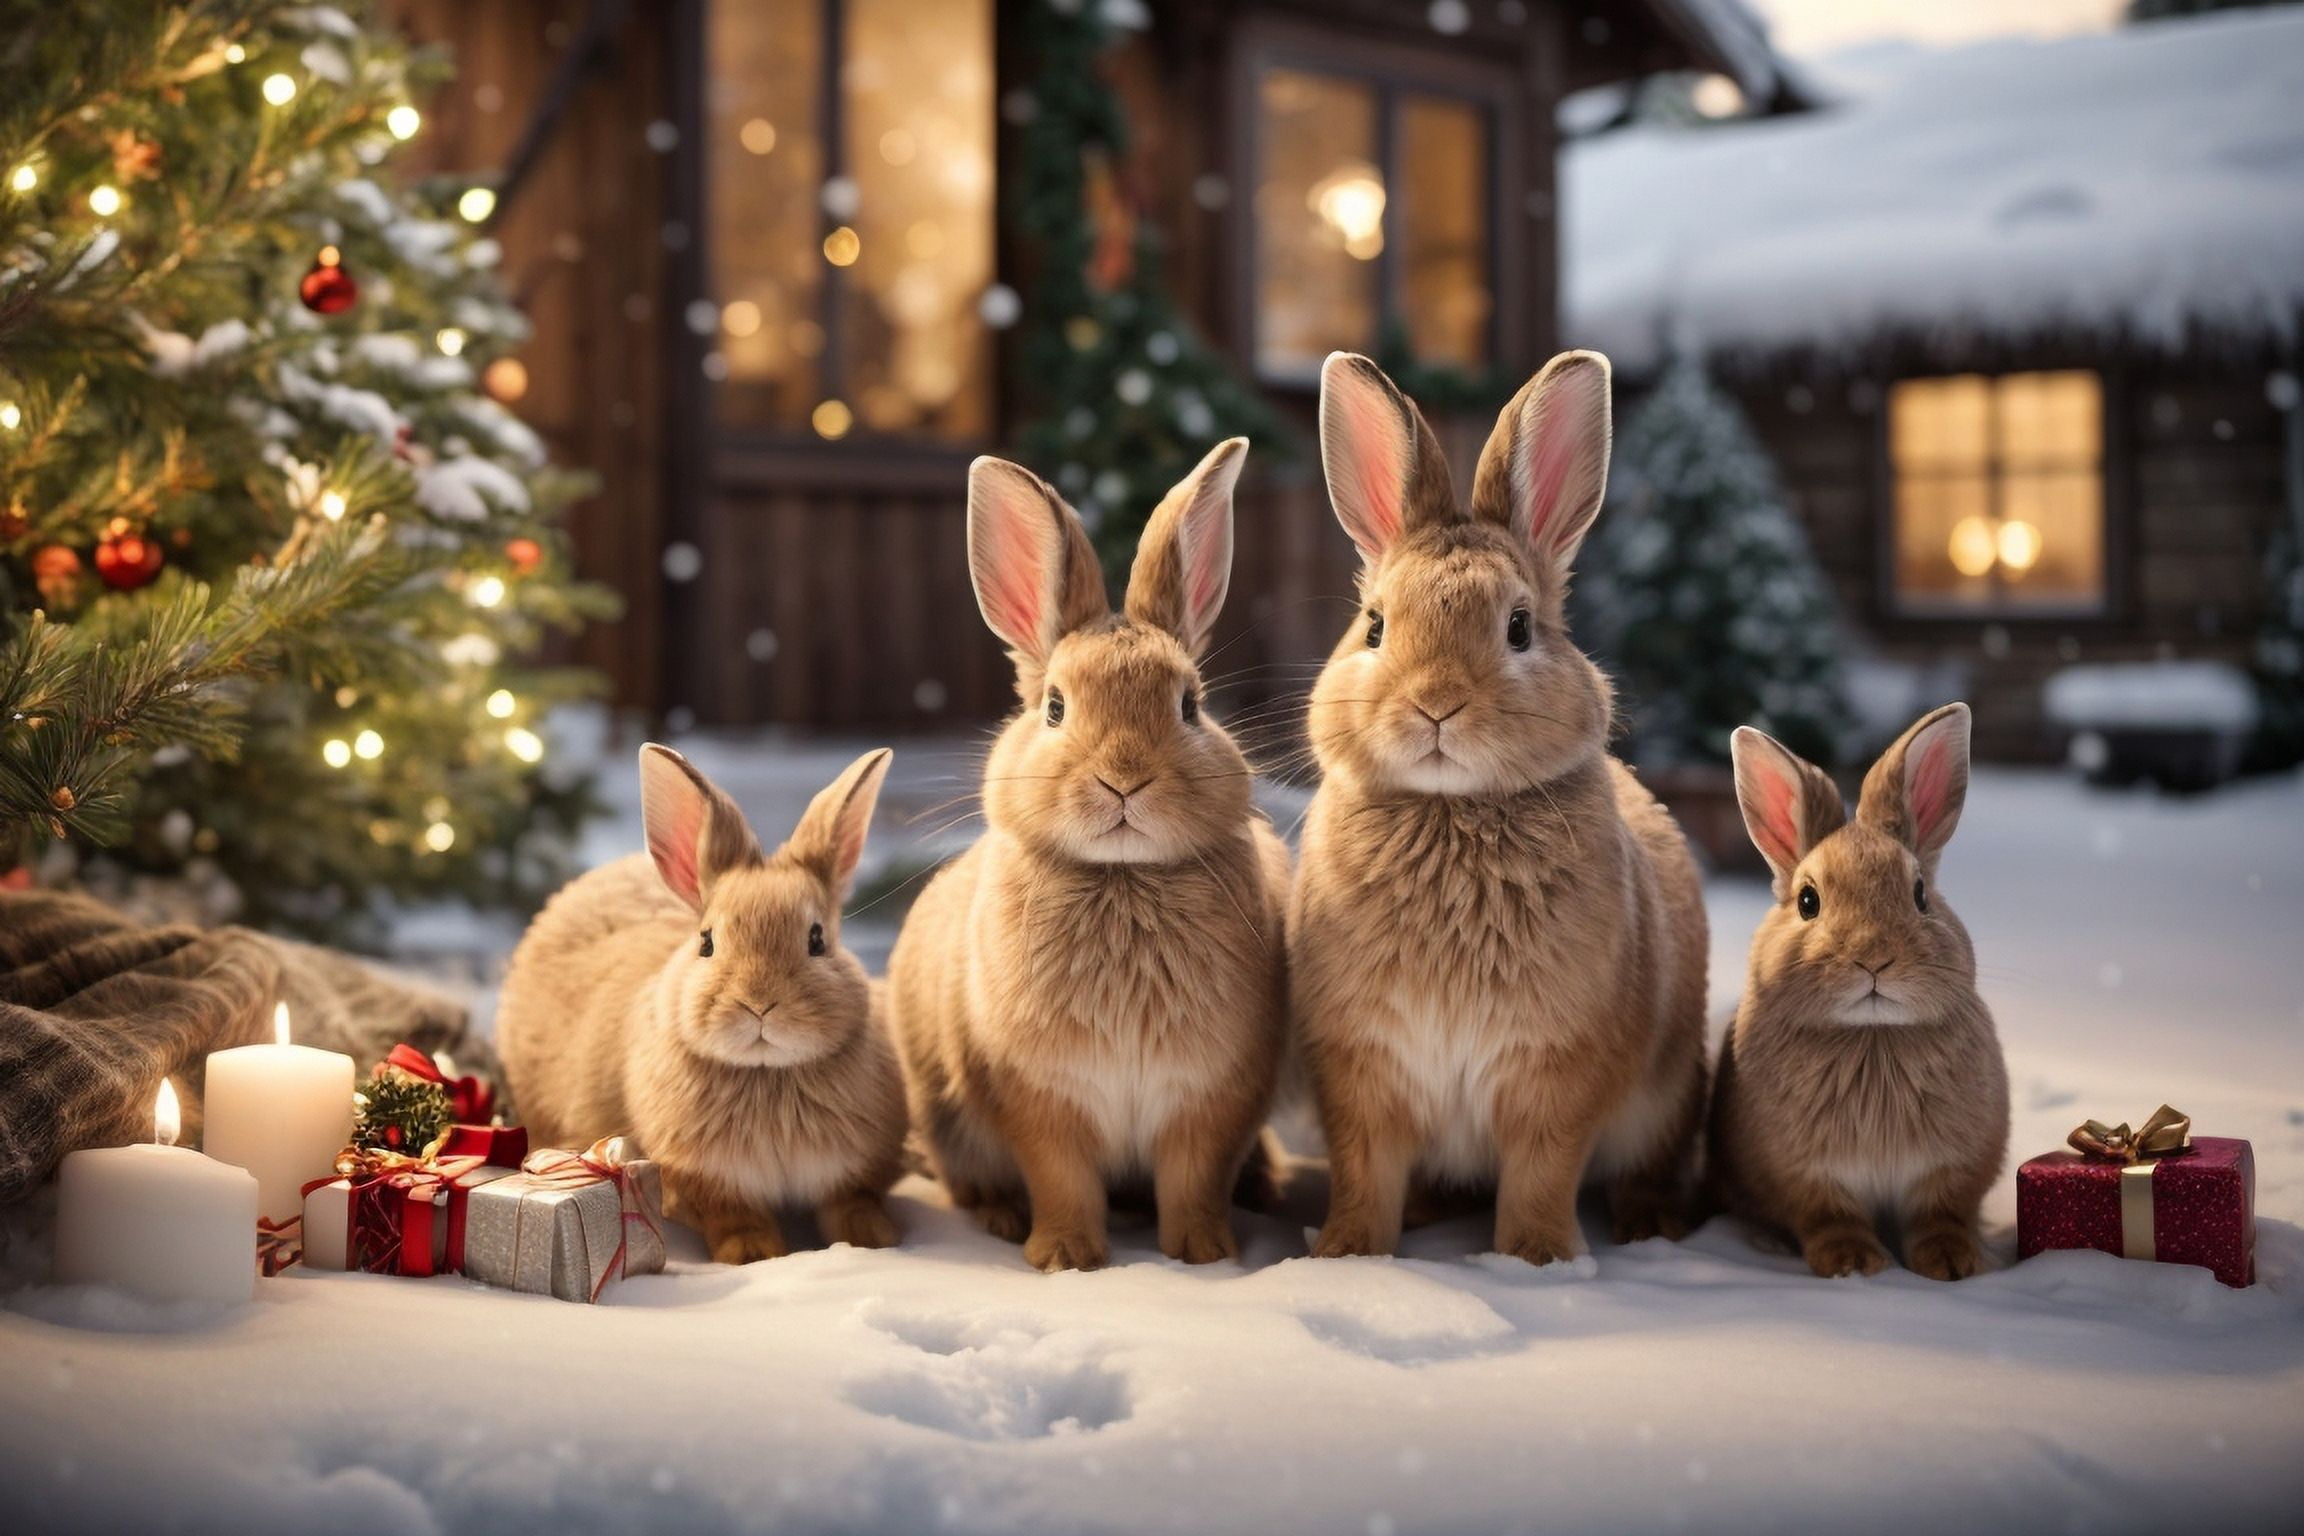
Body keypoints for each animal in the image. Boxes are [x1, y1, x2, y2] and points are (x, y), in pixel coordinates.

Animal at [495, 744, 907, 1264]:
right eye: (706, 942)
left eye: (818, 940)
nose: (758, 1005)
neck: (767, 1074)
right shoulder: (705, 1181)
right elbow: (735, 1216)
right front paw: (754, 1254)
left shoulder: (855, 1171)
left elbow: (852, 1202)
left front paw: (875, 1240)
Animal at [885, 438, 1290, 1272]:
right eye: (1054, 707)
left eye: (1191, 705)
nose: (1124, 779)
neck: (1123, 879)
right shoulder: (1040, 1104)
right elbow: (1062, 1178)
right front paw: (1067, 1256)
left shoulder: (1213, 1101)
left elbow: (1195, 1180)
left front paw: (1204, 1253)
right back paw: (1002, 1217)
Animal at [1291, 349, 1709, 1266]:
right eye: (1374, 626)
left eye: (1519, 627)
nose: (1435, 706)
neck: (1453, 812)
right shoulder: (1359, 1072)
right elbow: (1364, 1171)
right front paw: (1346, 1254)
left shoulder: (1557, 1075)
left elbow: (1541, 1175)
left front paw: (1536, 1261)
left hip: (1664, 1104)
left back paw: (1651, 1228)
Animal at [1710, 703, 2008, 1280]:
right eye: (1808, 901)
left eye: (1920, 895)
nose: (1874, 958)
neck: (1872, 1035)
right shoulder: (1806, 1175)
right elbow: (1831, 1218)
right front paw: (1854, 1264)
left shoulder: (1952, 1171)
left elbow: (1941, 1215)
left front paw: (1953, 1264)